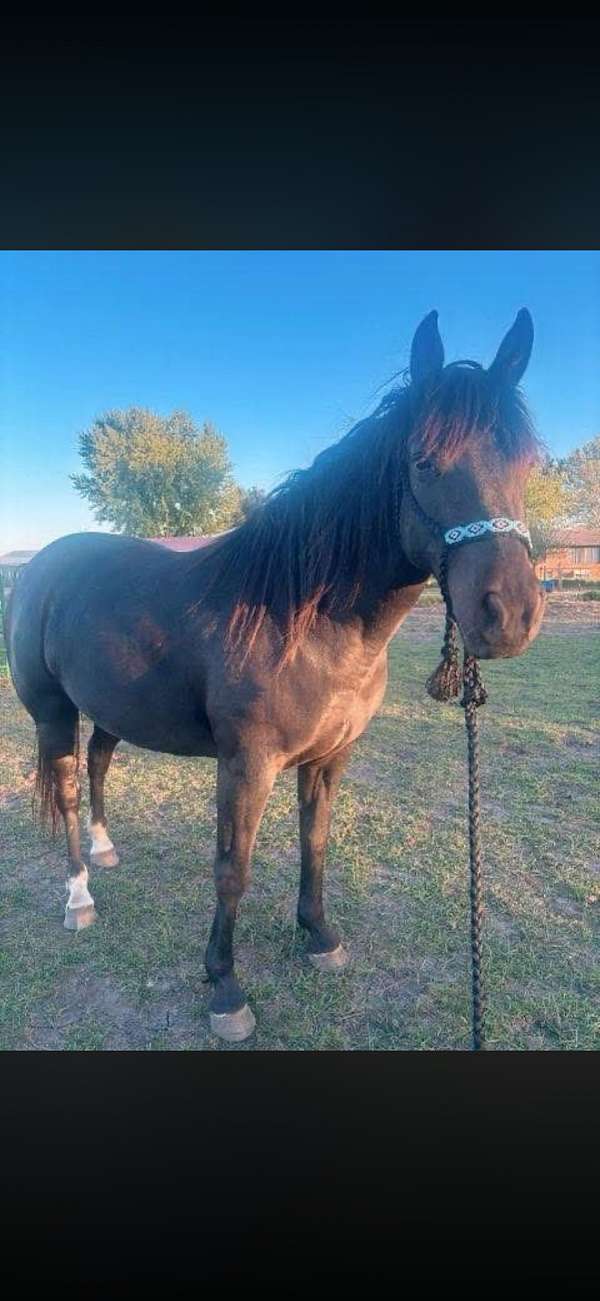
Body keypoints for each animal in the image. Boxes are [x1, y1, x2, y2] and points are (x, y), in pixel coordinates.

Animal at [5, 309, 545, 1043]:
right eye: (424, 462)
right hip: (50, 710)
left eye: (525, 464)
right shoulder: (247, 765)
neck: (304, 619)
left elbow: (315, 842)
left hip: (113, 706)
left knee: (98, 762)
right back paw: (80, 896)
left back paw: (106, 849)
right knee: (64, 785)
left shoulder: (330, 757)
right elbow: (233, 869)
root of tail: (41, 565)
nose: (509, 615)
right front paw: (225, 989)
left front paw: (319, 936)